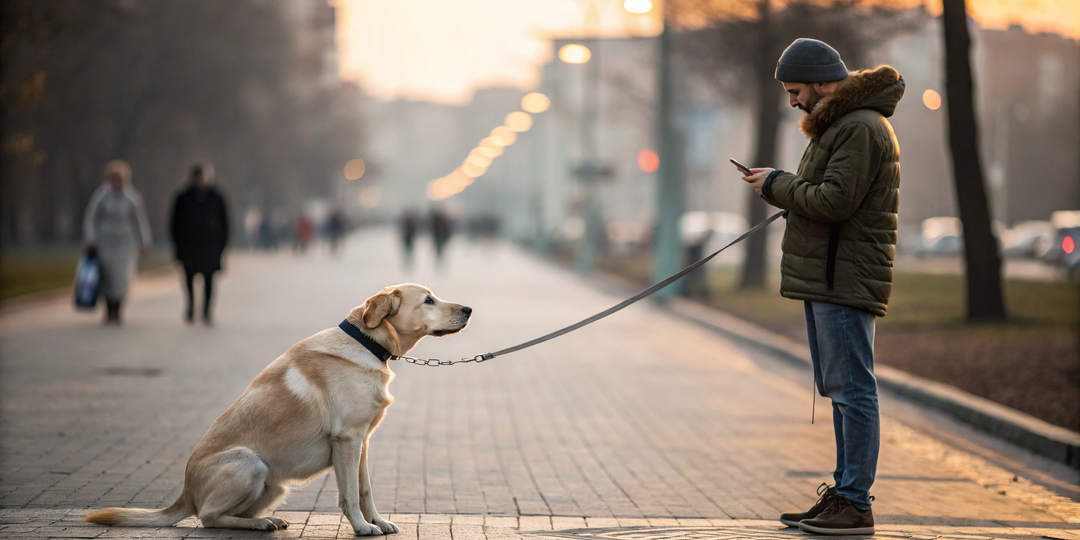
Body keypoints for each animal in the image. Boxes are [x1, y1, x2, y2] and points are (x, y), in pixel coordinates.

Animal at [82, 285, 470, 533]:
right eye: (429, 300)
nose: (468, 309)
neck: (366, 343)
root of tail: (185, 494)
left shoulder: (363, 442)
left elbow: (365, 490)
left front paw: (378, 521)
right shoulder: (346, 440)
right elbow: (348, 495)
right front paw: (361, 527)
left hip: (274, 486)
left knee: (221, 514)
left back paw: (264, 520)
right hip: (248, 462)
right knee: (208, 516)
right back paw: (258, 523)